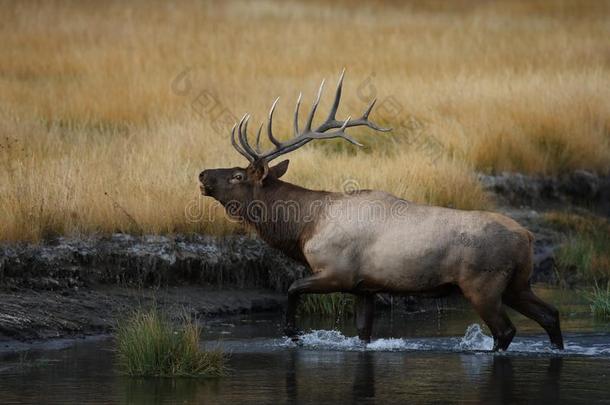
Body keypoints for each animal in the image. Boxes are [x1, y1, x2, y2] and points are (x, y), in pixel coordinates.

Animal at [197, 72, 564, 350]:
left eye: (238, 175)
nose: (202, 175)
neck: (303, 228)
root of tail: (527, 235)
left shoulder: (337, 272)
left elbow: (291, 289)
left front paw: (293, 334)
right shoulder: (365, 288)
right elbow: (364, 334)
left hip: (482, 284)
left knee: (506, 330)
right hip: (519, 283)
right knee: (551, 314)